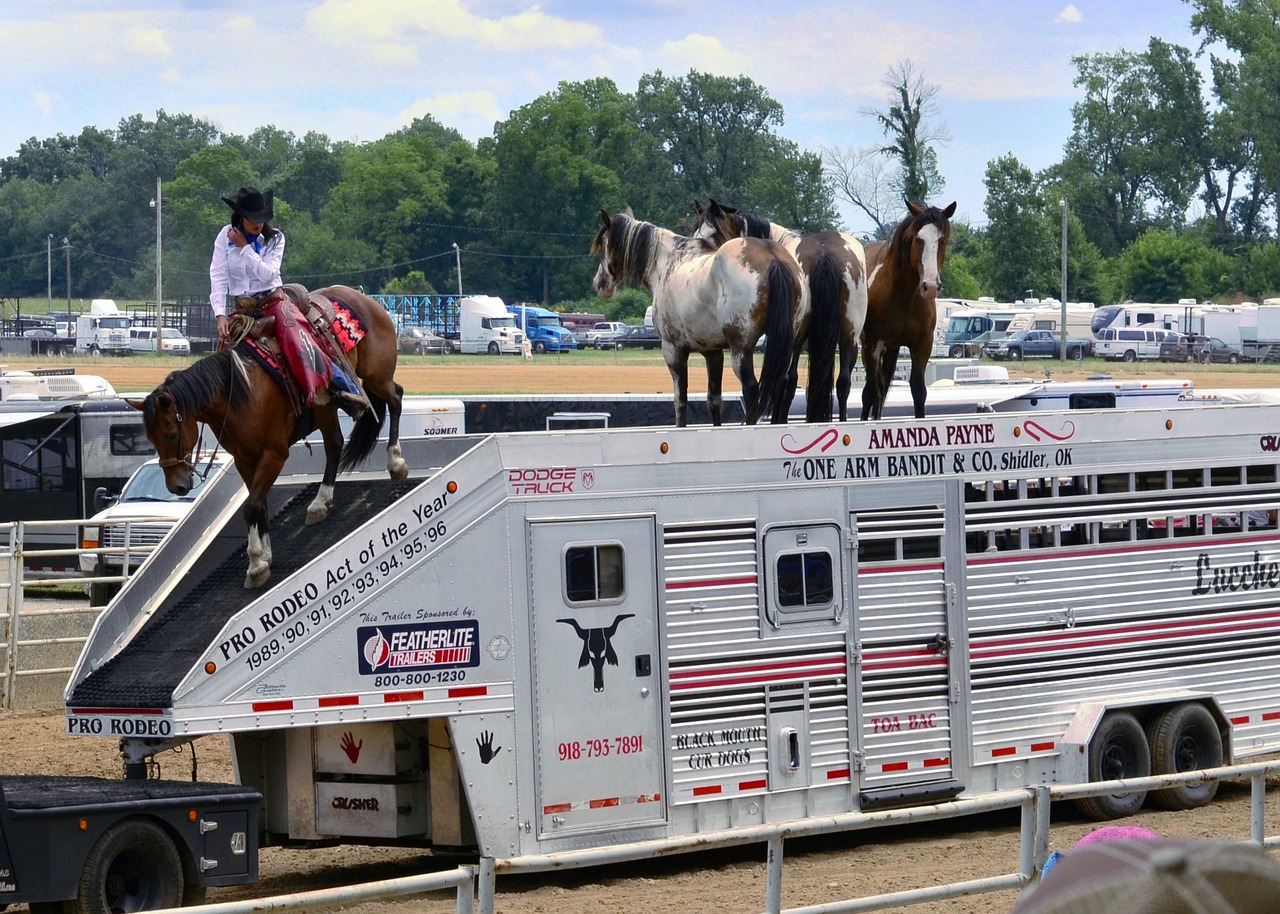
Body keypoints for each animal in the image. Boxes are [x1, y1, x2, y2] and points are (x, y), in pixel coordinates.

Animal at [588, 209, 798, 427]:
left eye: (604, 244)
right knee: (781, 385)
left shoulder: (673, 350)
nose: (599, 283)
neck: (668, 262)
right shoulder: (713, 352)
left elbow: (680, 401)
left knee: (752, 390)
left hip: (741, 350)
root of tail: (772, 257)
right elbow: (714, 400)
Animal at [696, 199, 865, 419]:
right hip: (849, 337)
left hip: (798, 339)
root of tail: (824, 253)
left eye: (712, 233)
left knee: (790, 379)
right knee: (843, 382)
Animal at [855, 199, 957, 419]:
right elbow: (869, 392)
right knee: (875, 389)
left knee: (882, 389)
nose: (930, 286)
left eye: (942, 240)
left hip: (892, 349)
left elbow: (918, 390)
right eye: (918, 239)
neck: (904, 297)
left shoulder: (922, 345)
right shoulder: (873, 345)